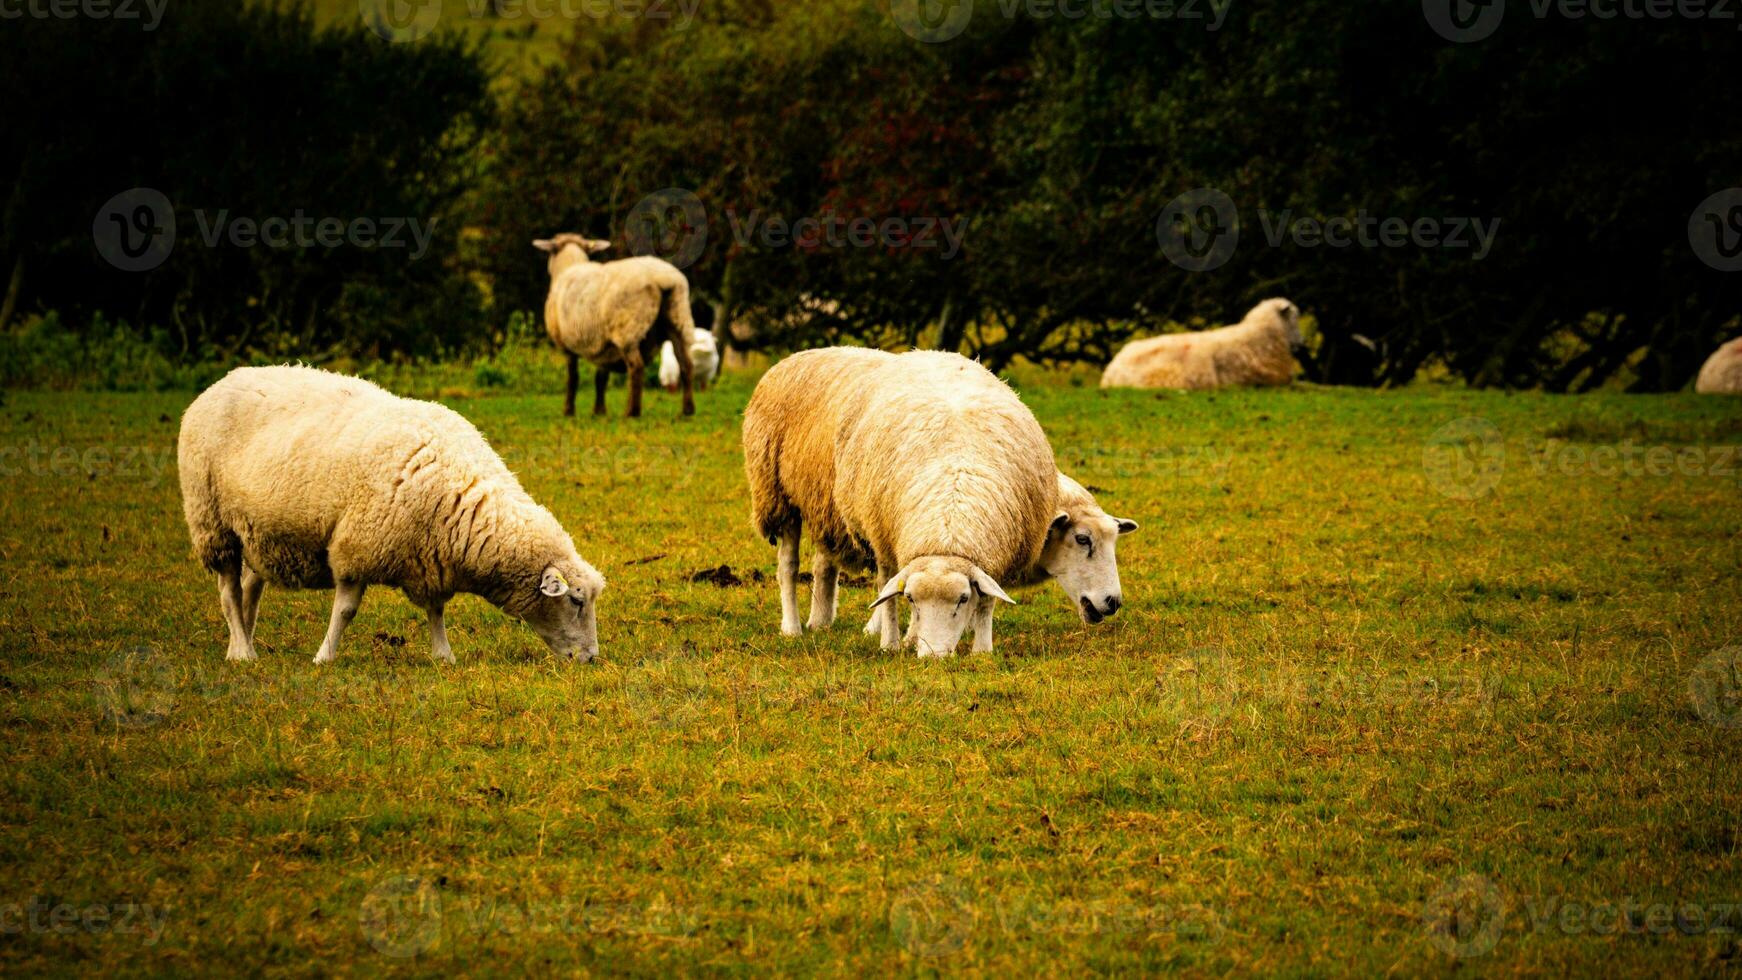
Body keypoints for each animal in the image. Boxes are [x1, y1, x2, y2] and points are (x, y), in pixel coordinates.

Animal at [178, 365, 606, 668]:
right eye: (576, 601)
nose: (590, 659)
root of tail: (222, 382)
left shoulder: (430, 558)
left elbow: (436, 610)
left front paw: (443, 655)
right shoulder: (355, 548)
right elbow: (345, 611)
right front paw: (324, 656)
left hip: (258, 532)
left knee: (249, 588)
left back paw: (243, 641)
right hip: (212, 522)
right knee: (229, 591)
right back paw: (242, 652)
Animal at [533, 238, 696, 421]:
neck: (568, 267)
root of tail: (663, 279)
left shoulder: (566, 346)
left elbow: (573, 378)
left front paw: (569, 411)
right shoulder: (604, 345)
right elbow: (601, 378)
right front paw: (599, 411)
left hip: (628, 330)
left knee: (636, 367)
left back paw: (632, 412)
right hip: (679, 318)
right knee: (686, 364)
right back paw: (687, 410)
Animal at [742, 348, 1052, 654]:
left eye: (963, 599)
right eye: (911, 599)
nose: (933, 655)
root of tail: (795, 357)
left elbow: (987, 600)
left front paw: (981, 649)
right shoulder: (882, 536)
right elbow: (887, 590)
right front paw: (890, 643)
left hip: (825, 506)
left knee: (824, 564)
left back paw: (820, 621)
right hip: (776, 495)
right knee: (788, 565)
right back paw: (791, 627)